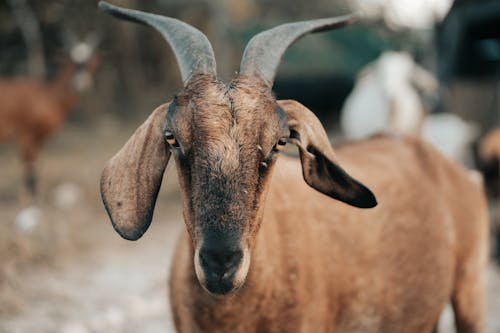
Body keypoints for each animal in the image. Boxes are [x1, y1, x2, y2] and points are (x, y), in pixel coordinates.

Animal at [0, 40, 98, 196]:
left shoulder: (39, 139)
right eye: (72, 63)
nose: (80, 85)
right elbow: (30, 174)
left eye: (92, 63)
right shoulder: (26, 136)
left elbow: (34, 171)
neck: (47, 94)